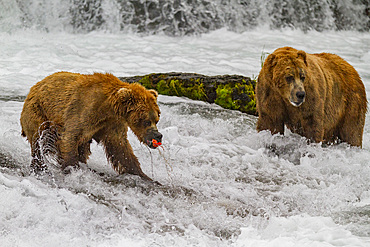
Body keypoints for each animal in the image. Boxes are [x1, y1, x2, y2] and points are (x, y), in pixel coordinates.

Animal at [21, 70, 163, 180]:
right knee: (38, 140)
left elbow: (120, 148)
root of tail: (33, 88)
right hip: (38, 112)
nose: (158, 135)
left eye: (157, 119)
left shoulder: (112, 123)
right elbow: (70, 137)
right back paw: (39, 167)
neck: (109, 108)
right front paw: (72, 168)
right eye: (146, 121)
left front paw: (144, 176)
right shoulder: (84, 110)